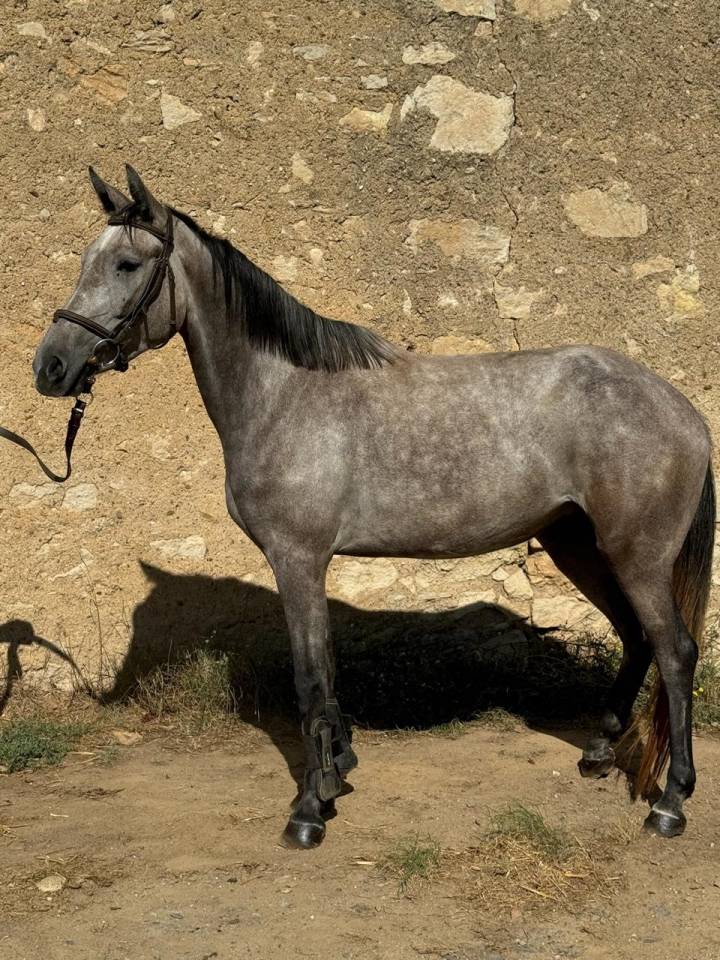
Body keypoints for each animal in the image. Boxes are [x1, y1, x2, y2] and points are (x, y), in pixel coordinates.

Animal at [33, 166, 714, 848]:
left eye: (125, 264)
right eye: (86, 260)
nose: (50, 367)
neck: (284, 394)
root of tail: (681, 409)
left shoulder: (298, 559)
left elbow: (310, 678)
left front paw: (310, 809)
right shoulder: (309, 564)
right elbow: (328, 672)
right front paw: (338, 771)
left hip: (635, 556)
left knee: (676, 651)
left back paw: (670, 802)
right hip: (579, 545)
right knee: (636, 638)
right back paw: (600, 753)